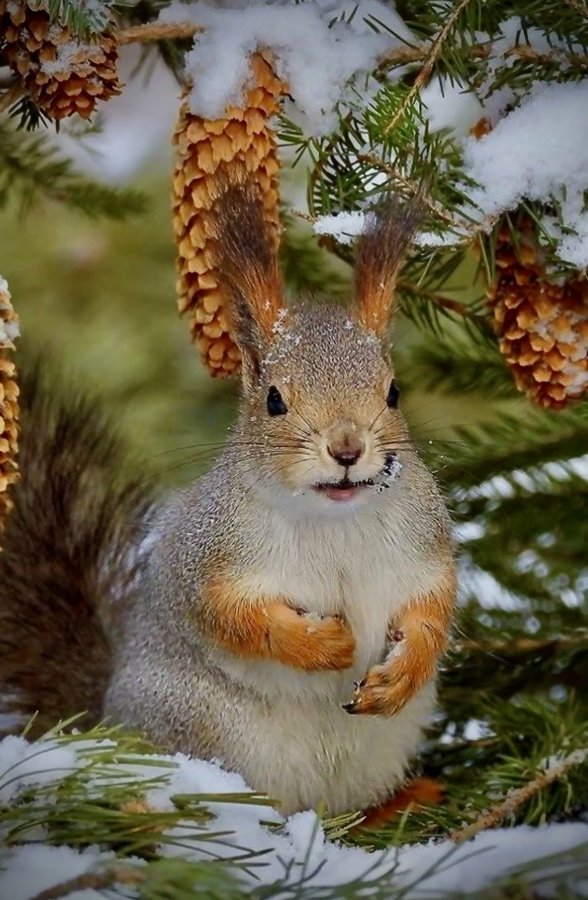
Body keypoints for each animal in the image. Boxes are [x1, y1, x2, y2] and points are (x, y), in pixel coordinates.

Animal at [0, 181, 454, 816]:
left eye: (393, 392)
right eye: (274, 400)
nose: (347, 447)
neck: (332, 519)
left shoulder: (423, 544)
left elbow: (434, 609)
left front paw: (405, 670)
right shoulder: (211, 556)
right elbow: (235, 617)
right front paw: (321, 642)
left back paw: (400, 800)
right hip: (198, 726)